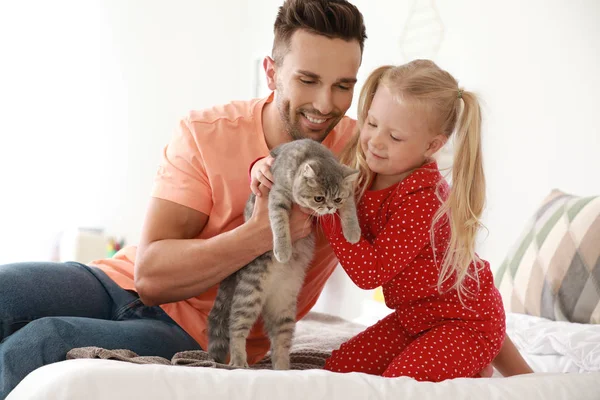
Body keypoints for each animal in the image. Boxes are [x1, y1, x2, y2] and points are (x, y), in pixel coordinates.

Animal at [209, 138, 360, 368]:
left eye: (336, 199)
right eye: (318, 198)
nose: (328, 209)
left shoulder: (347, 198)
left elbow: (350, 210)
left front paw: (352, 231)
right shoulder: (277, 196)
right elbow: (280, 224)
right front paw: (283, 249)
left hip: (284, 311)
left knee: (280, 344)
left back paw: (283, 369)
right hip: (248, 296)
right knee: (235, 328)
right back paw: (239, 361)